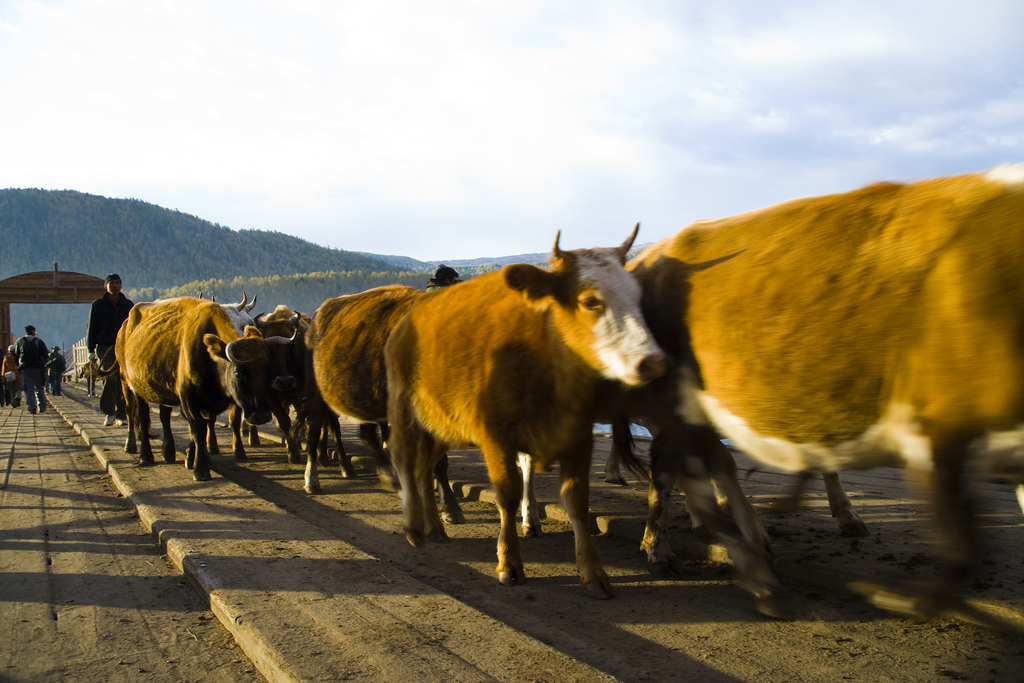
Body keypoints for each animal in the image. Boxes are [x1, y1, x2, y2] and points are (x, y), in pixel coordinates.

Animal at [303, 284, 464, 524]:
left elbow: (440, 461)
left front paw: (450, 507)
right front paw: (448, 507)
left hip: (362, 396)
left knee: (367, 436)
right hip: (316, 393)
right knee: (313, 431)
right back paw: (311, 480)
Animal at [385, 228, 663, 598]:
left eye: (637, 294)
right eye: (590, 301)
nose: (653, 361)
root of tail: (407, 321)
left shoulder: (579, 435)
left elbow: (577, 500)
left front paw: (593, 573)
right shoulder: (496, 436)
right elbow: (508, 493)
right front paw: (510, 562)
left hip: (441, 424)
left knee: (424, 467)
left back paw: (435, 527)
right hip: (405, 409)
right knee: (403, 457)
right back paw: (414, 527)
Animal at [618, 165, 1024, 618]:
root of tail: (655, 253)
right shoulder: (935, 422)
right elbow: (960, 548)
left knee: (706, 464)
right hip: (676, 402)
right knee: (675, 469)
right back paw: (687, 551)